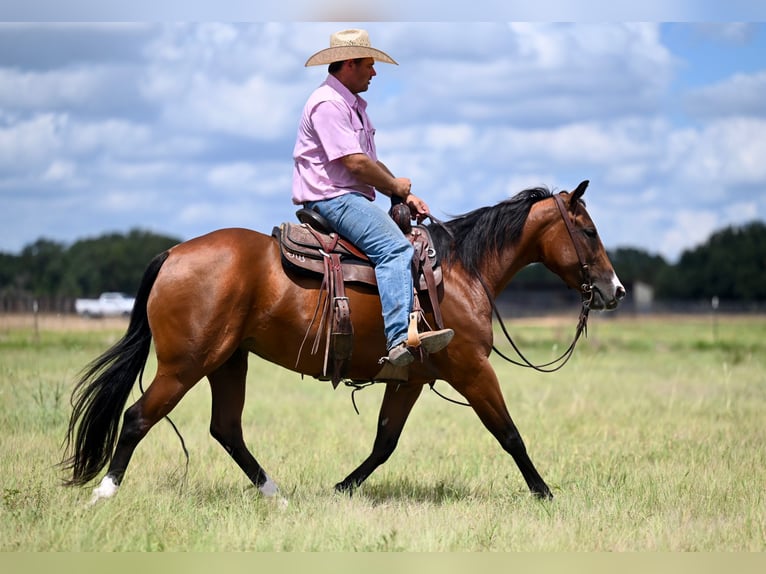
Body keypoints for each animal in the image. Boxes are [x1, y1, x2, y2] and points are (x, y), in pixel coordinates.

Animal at [60, 179, 624, 504]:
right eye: (589, 231)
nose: (615, 290)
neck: (461, 272)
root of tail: (173, 254)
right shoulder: (470, 368)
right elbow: (509, 433)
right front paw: (545, 494)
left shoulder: (411, 378)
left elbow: (384, 443)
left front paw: (341, 488)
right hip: (184, 364)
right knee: (138, 418)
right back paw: (104, 496)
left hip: (228, 361)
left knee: (226, 430)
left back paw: (276, 496)